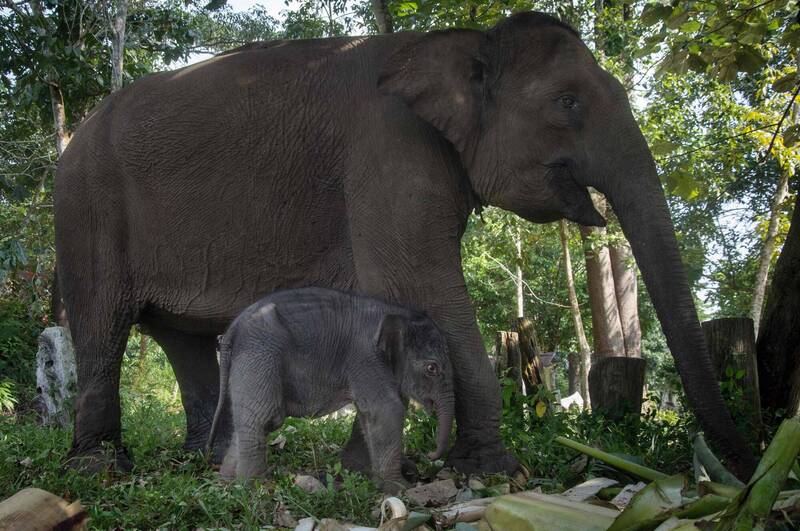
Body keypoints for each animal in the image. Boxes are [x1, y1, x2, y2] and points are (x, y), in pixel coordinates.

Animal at [206, 288, 454, 492]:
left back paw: (229, 481)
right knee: (264, 417)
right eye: (432, 368)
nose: (429, 455)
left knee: (248, 421)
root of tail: (231, 331)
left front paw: (363, 476)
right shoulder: (365, 357)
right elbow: (387, 410)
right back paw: (255, 488)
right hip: (260, 354)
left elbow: (368, 414)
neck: (397, 313)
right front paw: (399, 488)